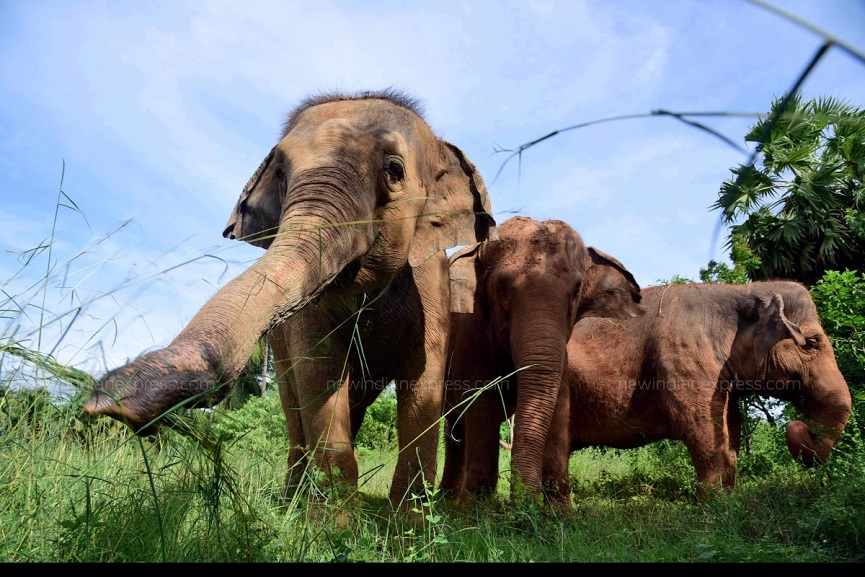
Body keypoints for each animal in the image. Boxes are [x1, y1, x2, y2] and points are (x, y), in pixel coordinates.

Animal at [82, 89, 497, 509]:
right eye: (280, 173)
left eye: (394, 170)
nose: (107, 400)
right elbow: (319, 375)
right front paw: (329, 522)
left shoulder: (434, 289)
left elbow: (423, 384)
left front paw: (406, 522)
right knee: (296, 408)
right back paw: (292, 502)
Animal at [440, 215, 645, 503]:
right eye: (502, 287)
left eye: (577, 289)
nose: (523, 504)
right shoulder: (471, 337)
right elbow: (482, 401)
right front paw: (475, 510)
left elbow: (559, 403)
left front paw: (558, 511)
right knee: (455, 428)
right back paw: (447, 502)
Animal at [553, 281, 852, 496]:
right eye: (812, 343)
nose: (798, 425)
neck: (742, 290)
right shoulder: (685, 359)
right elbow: (701, 426)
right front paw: (713, 506)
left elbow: (731, 427)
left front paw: (729, 499)